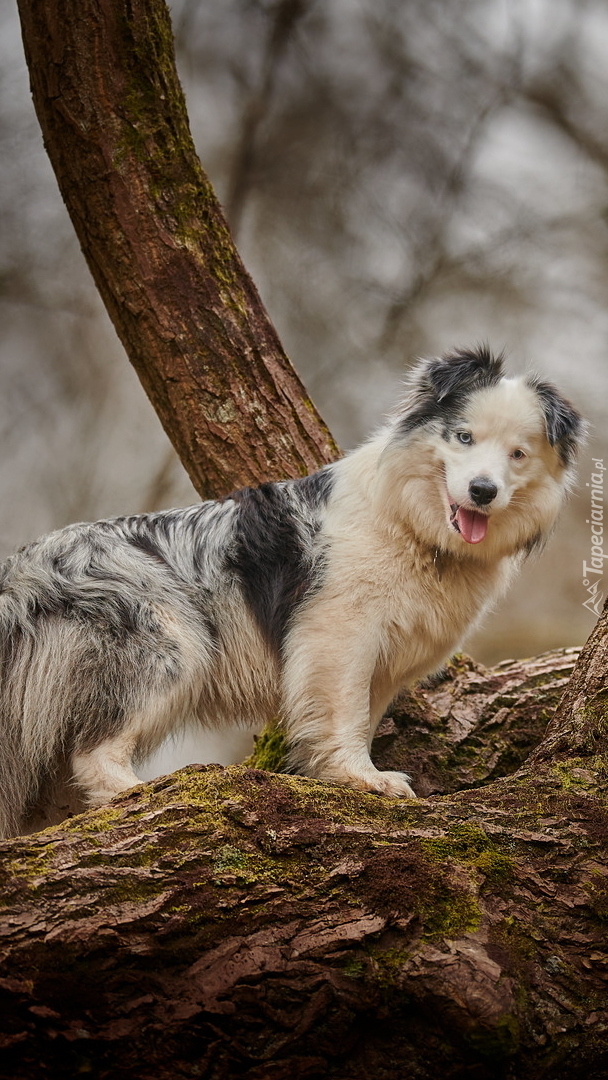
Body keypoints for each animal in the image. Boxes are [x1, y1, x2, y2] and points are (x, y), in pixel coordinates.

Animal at [0, 345, 583, 833]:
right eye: (463, 437)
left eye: (518, 454)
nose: (483, 491)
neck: (413, 528)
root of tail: (25, 569)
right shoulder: (338, 633)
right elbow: (345, 714)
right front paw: (364, 778)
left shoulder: (383, 659)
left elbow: (359, 718)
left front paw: (341, 774)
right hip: (172, 646)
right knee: (93, 755)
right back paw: (145, 793)